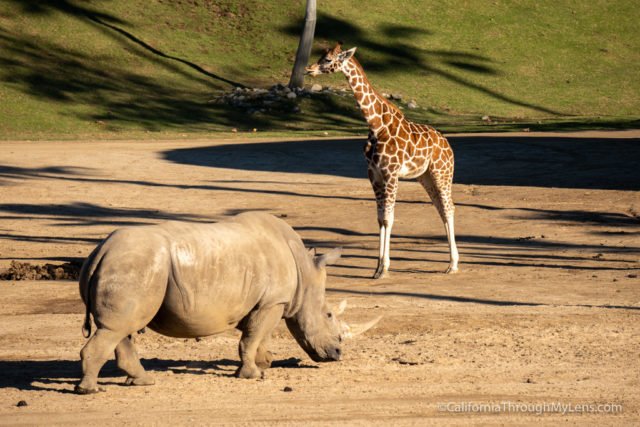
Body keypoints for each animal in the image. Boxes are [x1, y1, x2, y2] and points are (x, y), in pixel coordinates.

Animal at [306, 41, 460, 280]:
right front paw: (377, 268)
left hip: (442, 172)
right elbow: (380, 218)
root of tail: (447, 144)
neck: (376, 125)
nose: (310, 69)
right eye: (322, 56)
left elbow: (389, 218)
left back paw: (453, 265)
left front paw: (384, 268)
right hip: (425, 176)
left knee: (449, 207)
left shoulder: (390, 173)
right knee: (442, 209)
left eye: (329, 59)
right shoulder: (374, 175)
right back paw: (451, 262)